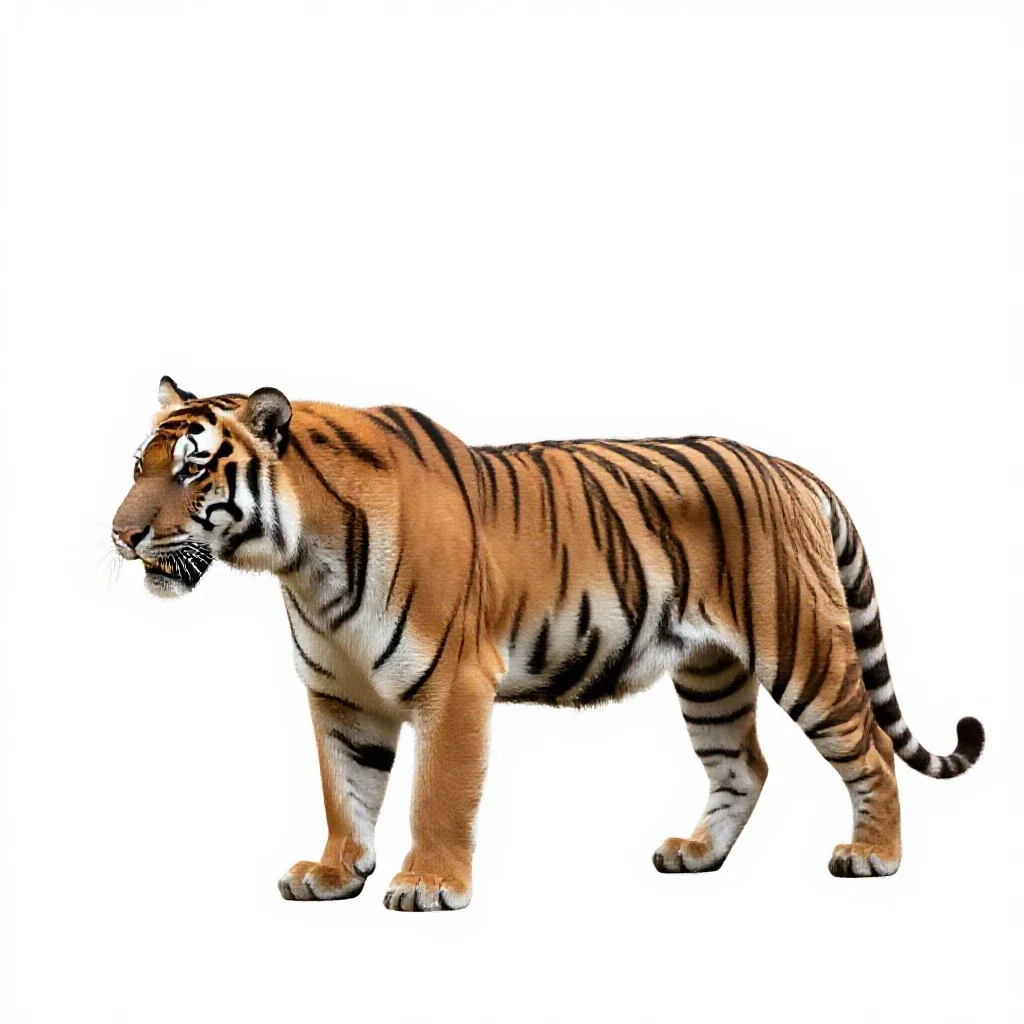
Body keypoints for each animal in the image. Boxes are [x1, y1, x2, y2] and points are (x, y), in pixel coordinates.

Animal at [112, 376, 984, 911]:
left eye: (192, 472)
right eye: (136, 467)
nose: (121, 535)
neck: (300, 562)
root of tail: (797, 472)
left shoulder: (454, 682)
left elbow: (437, 794)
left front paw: (428, 885)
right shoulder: (340, 695)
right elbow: (345, 791)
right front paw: (332, 874)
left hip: (803, 648)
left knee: (871, 747)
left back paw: (872, 856)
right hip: (710, 674)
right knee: (745, 765)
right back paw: (697, 855)